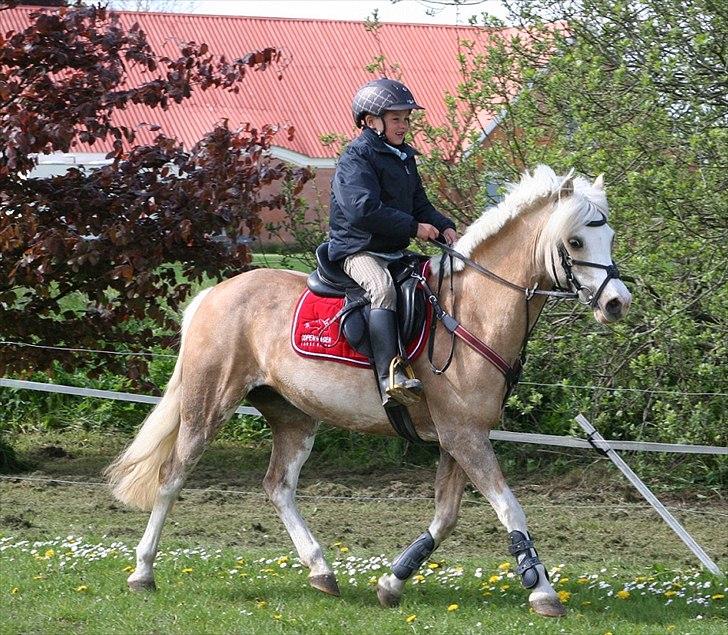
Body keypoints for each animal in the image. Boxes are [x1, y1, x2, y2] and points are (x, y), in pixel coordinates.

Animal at [105, 164, 636, 616]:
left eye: (608, 236)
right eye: (575, 240)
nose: (616, 303)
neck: (473, 311)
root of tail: (215, 293)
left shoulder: (460, 436)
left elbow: (446, 517)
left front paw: (392, 582)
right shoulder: (464, 436)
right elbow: (510, 508)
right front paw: (542, 590)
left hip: (293, 416)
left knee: (278, 486)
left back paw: (321, 571)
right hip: (209, 404)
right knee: (173, 476)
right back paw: (142, 572)